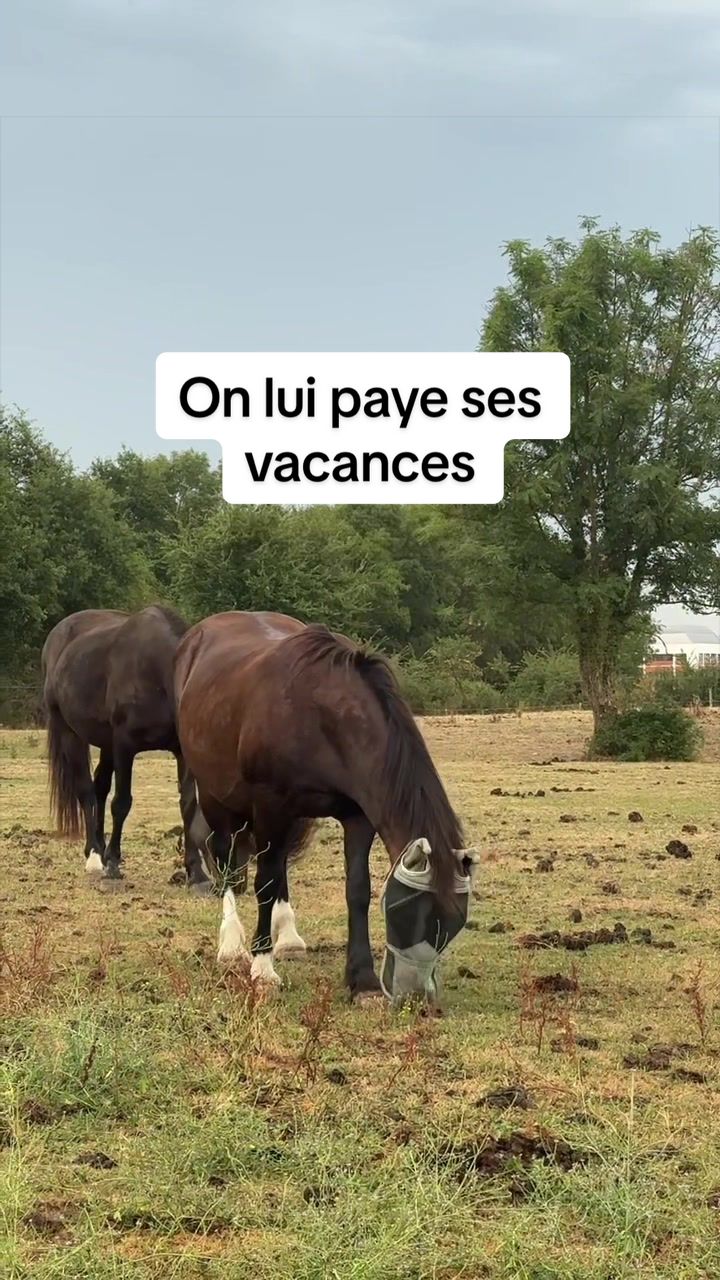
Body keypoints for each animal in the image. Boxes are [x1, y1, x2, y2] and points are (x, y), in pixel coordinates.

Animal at [42, 605, 210, 889]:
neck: (158, 674)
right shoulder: (124, 745)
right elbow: (121, 802)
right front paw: (112, 863)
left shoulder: (181, 753)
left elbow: (187, 806)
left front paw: (196, 872)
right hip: (70, 733)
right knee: (85, 791)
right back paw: (95, 855)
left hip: (105, 743)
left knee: (99, 787)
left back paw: (98, 848)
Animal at [174, 611, 478, 1002]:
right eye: (406, 913)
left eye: (454, 922)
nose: (415, 996)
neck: (321, 714)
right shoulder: (270, 804)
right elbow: (263, 883)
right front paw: (263, 969)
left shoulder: (358, 815)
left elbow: (357, 889)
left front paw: (361, 978)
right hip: (215, 795)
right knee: (227, 862)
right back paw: (231, 946)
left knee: (279, 864)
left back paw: (288, 937)